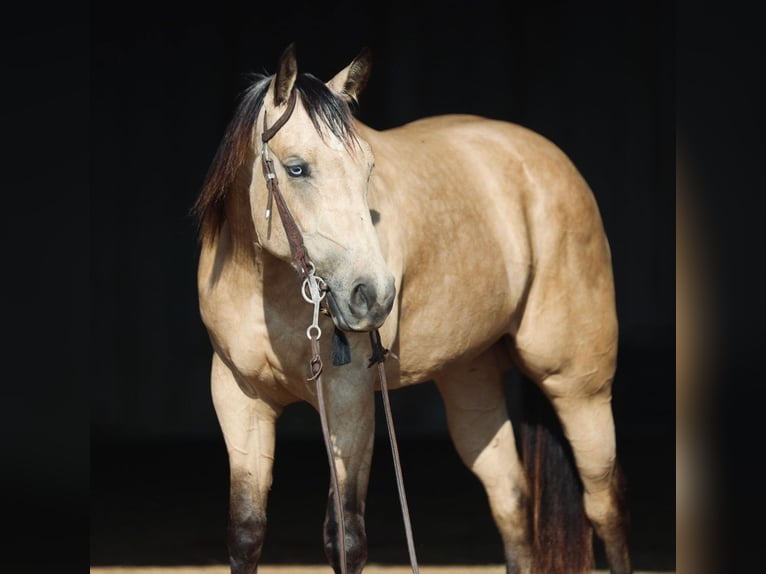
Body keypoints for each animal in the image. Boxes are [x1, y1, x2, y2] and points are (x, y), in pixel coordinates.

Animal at [192, 43, 632, 574]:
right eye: (296, 168)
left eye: (367, 169)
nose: (374, 295)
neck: (270, 291)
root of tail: (552, 163)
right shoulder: (239, 398)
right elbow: (246, 532)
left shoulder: (350, 401)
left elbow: (346, 537)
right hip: (470, 382)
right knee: (511, 501)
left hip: (578, 386)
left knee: (605, 506)